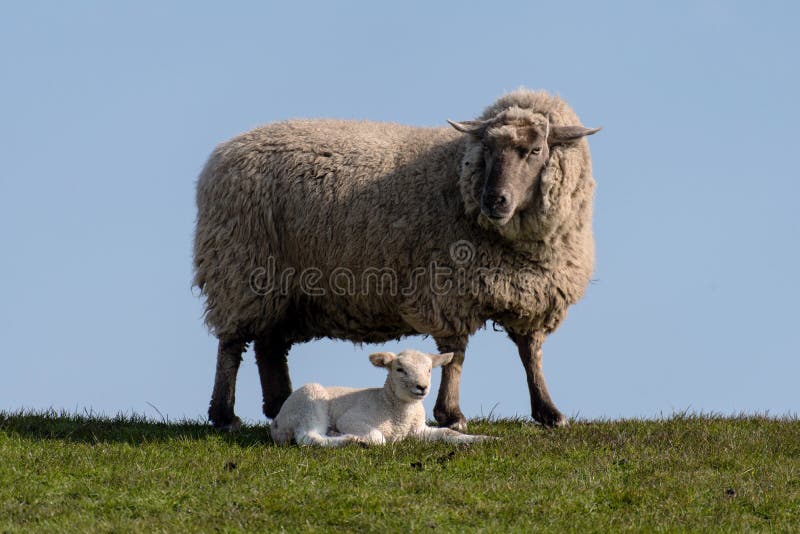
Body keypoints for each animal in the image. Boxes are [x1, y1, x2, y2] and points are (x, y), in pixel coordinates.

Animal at [194, 88, 600, 431]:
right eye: (486, 147)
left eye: (535, 150)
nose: (494, 200)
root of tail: (222, 154)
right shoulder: (449, 288)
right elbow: (455, 354)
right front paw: (451, 414)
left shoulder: (534, 293)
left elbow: (531, 354)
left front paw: (549, 411)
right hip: (241, 267)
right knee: (232, 344)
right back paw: (225, 414)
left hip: (281, 285)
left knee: (269, 344)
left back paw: (279, 403)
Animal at [270, 349, 493, 446]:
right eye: (399, 369)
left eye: (430, 370)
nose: (422, 387)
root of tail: (277, 423)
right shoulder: (351, 418)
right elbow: (379, 438)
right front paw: (362, 438)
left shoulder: (418, 430)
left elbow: (449, 433)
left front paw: (486, 439)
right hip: (309, 402)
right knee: (307, 437)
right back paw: (348, 440)